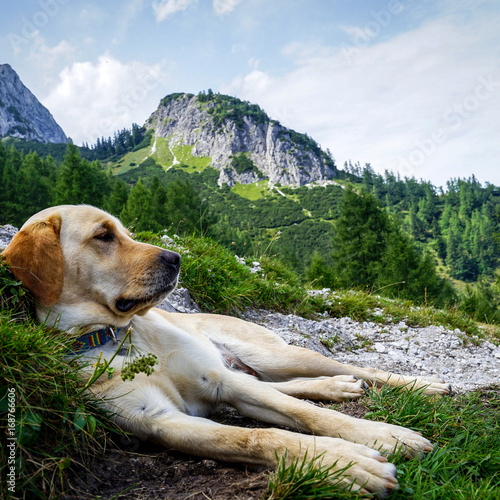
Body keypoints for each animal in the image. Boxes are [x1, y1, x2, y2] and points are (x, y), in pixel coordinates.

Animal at [0, 204, 454, 496]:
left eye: (125, 232)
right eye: (103, 236)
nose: (176, 258)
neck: (114, 337)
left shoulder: (218, 379)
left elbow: (307, 415)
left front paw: (385, 435)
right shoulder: (159, 421)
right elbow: (257, 437)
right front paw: (346, 464)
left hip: (274, 356)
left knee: (348, 370)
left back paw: (424, 385)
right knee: (289, 386)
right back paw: (337, 386)